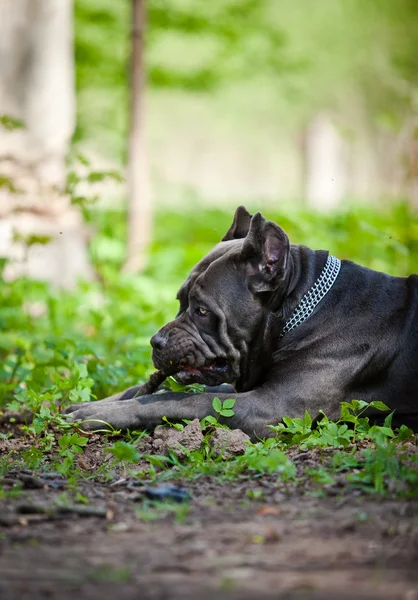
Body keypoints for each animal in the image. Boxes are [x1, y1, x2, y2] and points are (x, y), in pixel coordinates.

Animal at [65, 206, 418, 436]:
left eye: (202, 311)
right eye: (180, 301)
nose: (156, 341)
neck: (300, 310)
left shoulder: (271, 407)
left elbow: (187, 400)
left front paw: (99, 414)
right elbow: (164, 391)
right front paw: (87, 403)